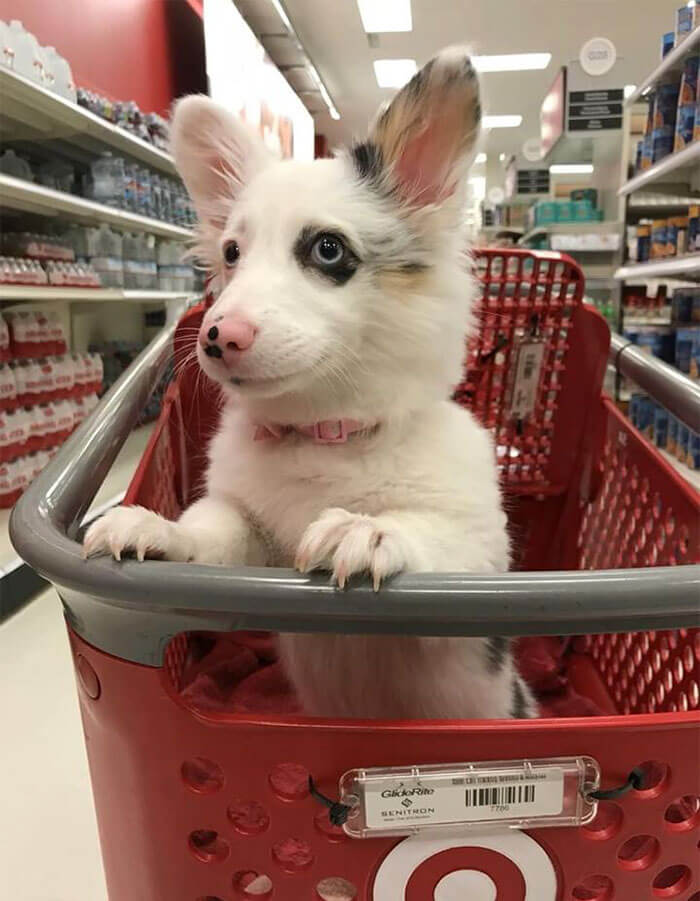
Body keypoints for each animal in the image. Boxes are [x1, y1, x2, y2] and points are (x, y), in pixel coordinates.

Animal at [86, 51, 536, 724]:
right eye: (231, 253)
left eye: (328, 249)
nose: (217, 337)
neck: (326, 436)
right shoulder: (246, 530)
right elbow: (212, 533)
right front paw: (160, 532)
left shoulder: (481, 572)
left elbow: (432, 535)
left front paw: (369, 528)